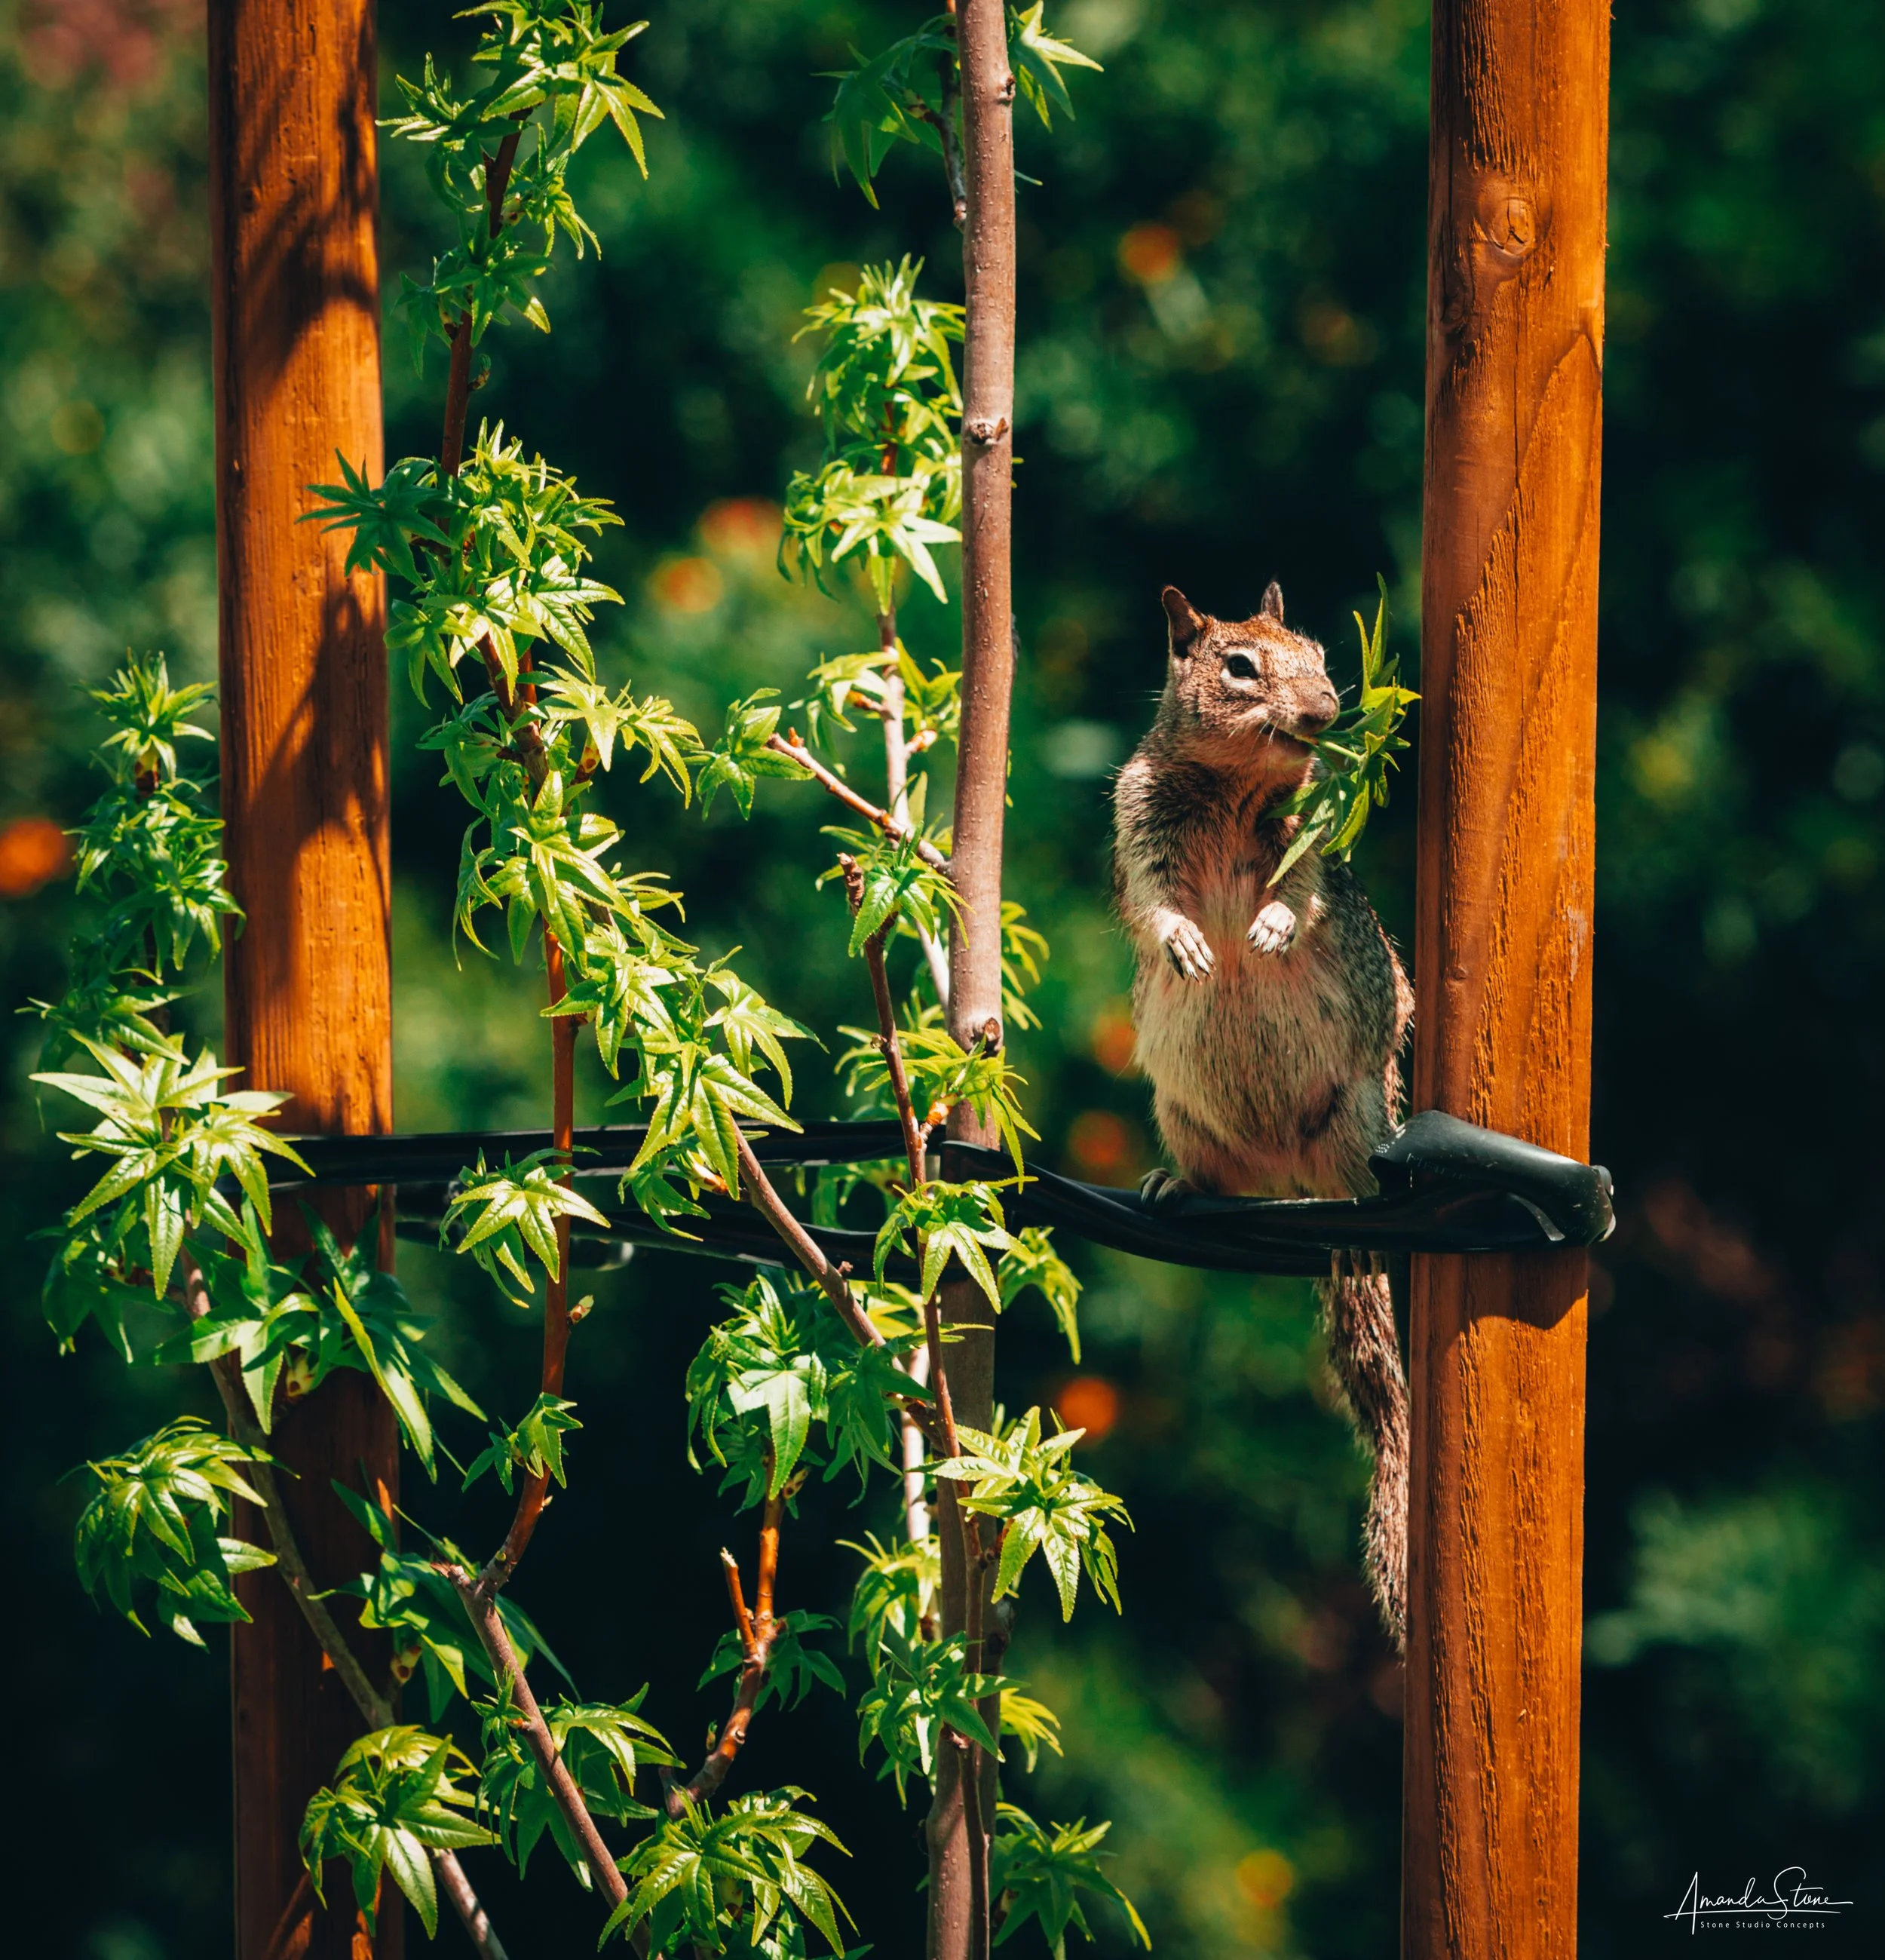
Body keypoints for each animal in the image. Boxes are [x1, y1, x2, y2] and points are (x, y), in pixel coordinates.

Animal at [1111, 581, 1414, 1648]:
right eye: (1238, 665)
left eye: (1323, 652)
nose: (1325, 711)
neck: (1234, 787)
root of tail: (1297, 1174)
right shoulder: (1138, 824)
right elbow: (1153, 900)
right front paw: (1185, 944)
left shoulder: (1314, 838)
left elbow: (1308, 889)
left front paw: (1274, 927)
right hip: (1186, 1113)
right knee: (1220, 1174)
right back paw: (1174, 1184)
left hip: (1360, 1111)